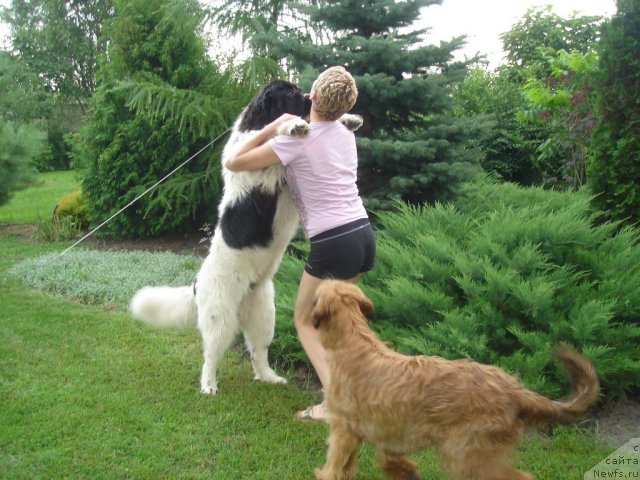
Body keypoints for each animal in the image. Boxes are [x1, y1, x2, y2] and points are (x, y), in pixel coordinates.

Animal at [130, 79, 360, 394]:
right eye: (289, 92)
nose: (308, 100)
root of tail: (196, 284)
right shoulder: (260, 165)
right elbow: (273, 131)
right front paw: (294, 124)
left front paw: (348, 119)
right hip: (221, 318)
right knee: (211, 354)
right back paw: (209, 386)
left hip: (265, 315)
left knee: (258, 352)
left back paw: (269, 377)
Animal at [310, 280, 600, 480]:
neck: (353, 342)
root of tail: (515, 391)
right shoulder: (386, 432)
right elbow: (380, 462)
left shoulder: (343, 429)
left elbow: (335, 463)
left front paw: (324, 474)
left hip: (465, 456)